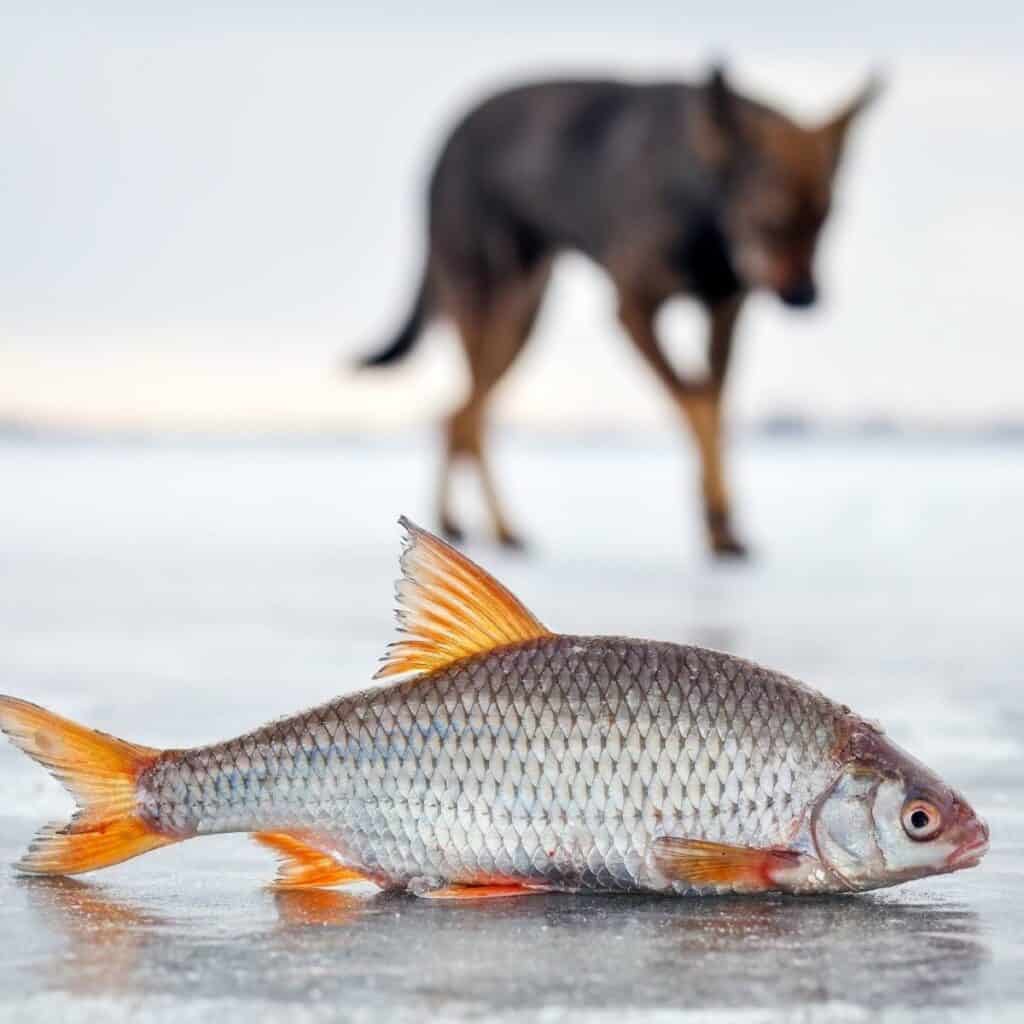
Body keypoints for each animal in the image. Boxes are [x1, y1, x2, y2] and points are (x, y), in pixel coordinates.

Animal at [356, 67, 876, 557]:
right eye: (771, 218)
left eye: (826, 219)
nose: (807, 298)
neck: (704, 212)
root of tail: (449, 137)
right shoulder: (633, 310)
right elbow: (695, 403)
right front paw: (716, 514)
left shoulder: (724, 312)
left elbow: (713, 407)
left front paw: (720, 525)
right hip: (492, 300)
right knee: (468, 415)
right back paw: (490, 528)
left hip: (524, 315)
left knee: (461, 414)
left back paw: (470, 526)